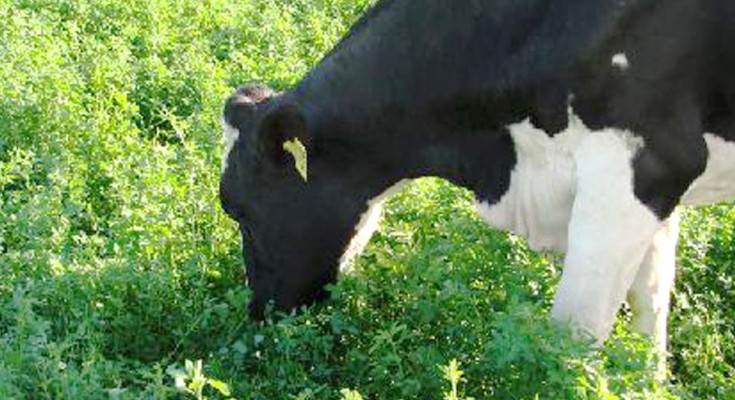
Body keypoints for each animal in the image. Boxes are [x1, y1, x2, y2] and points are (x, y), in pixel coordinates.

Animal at [219, 0, 735, 367]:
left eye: (238, 210)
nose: (259, 318)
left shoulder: (639, 167)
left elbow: (573, 335)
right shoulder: (657, 190)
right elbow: (650, 308)